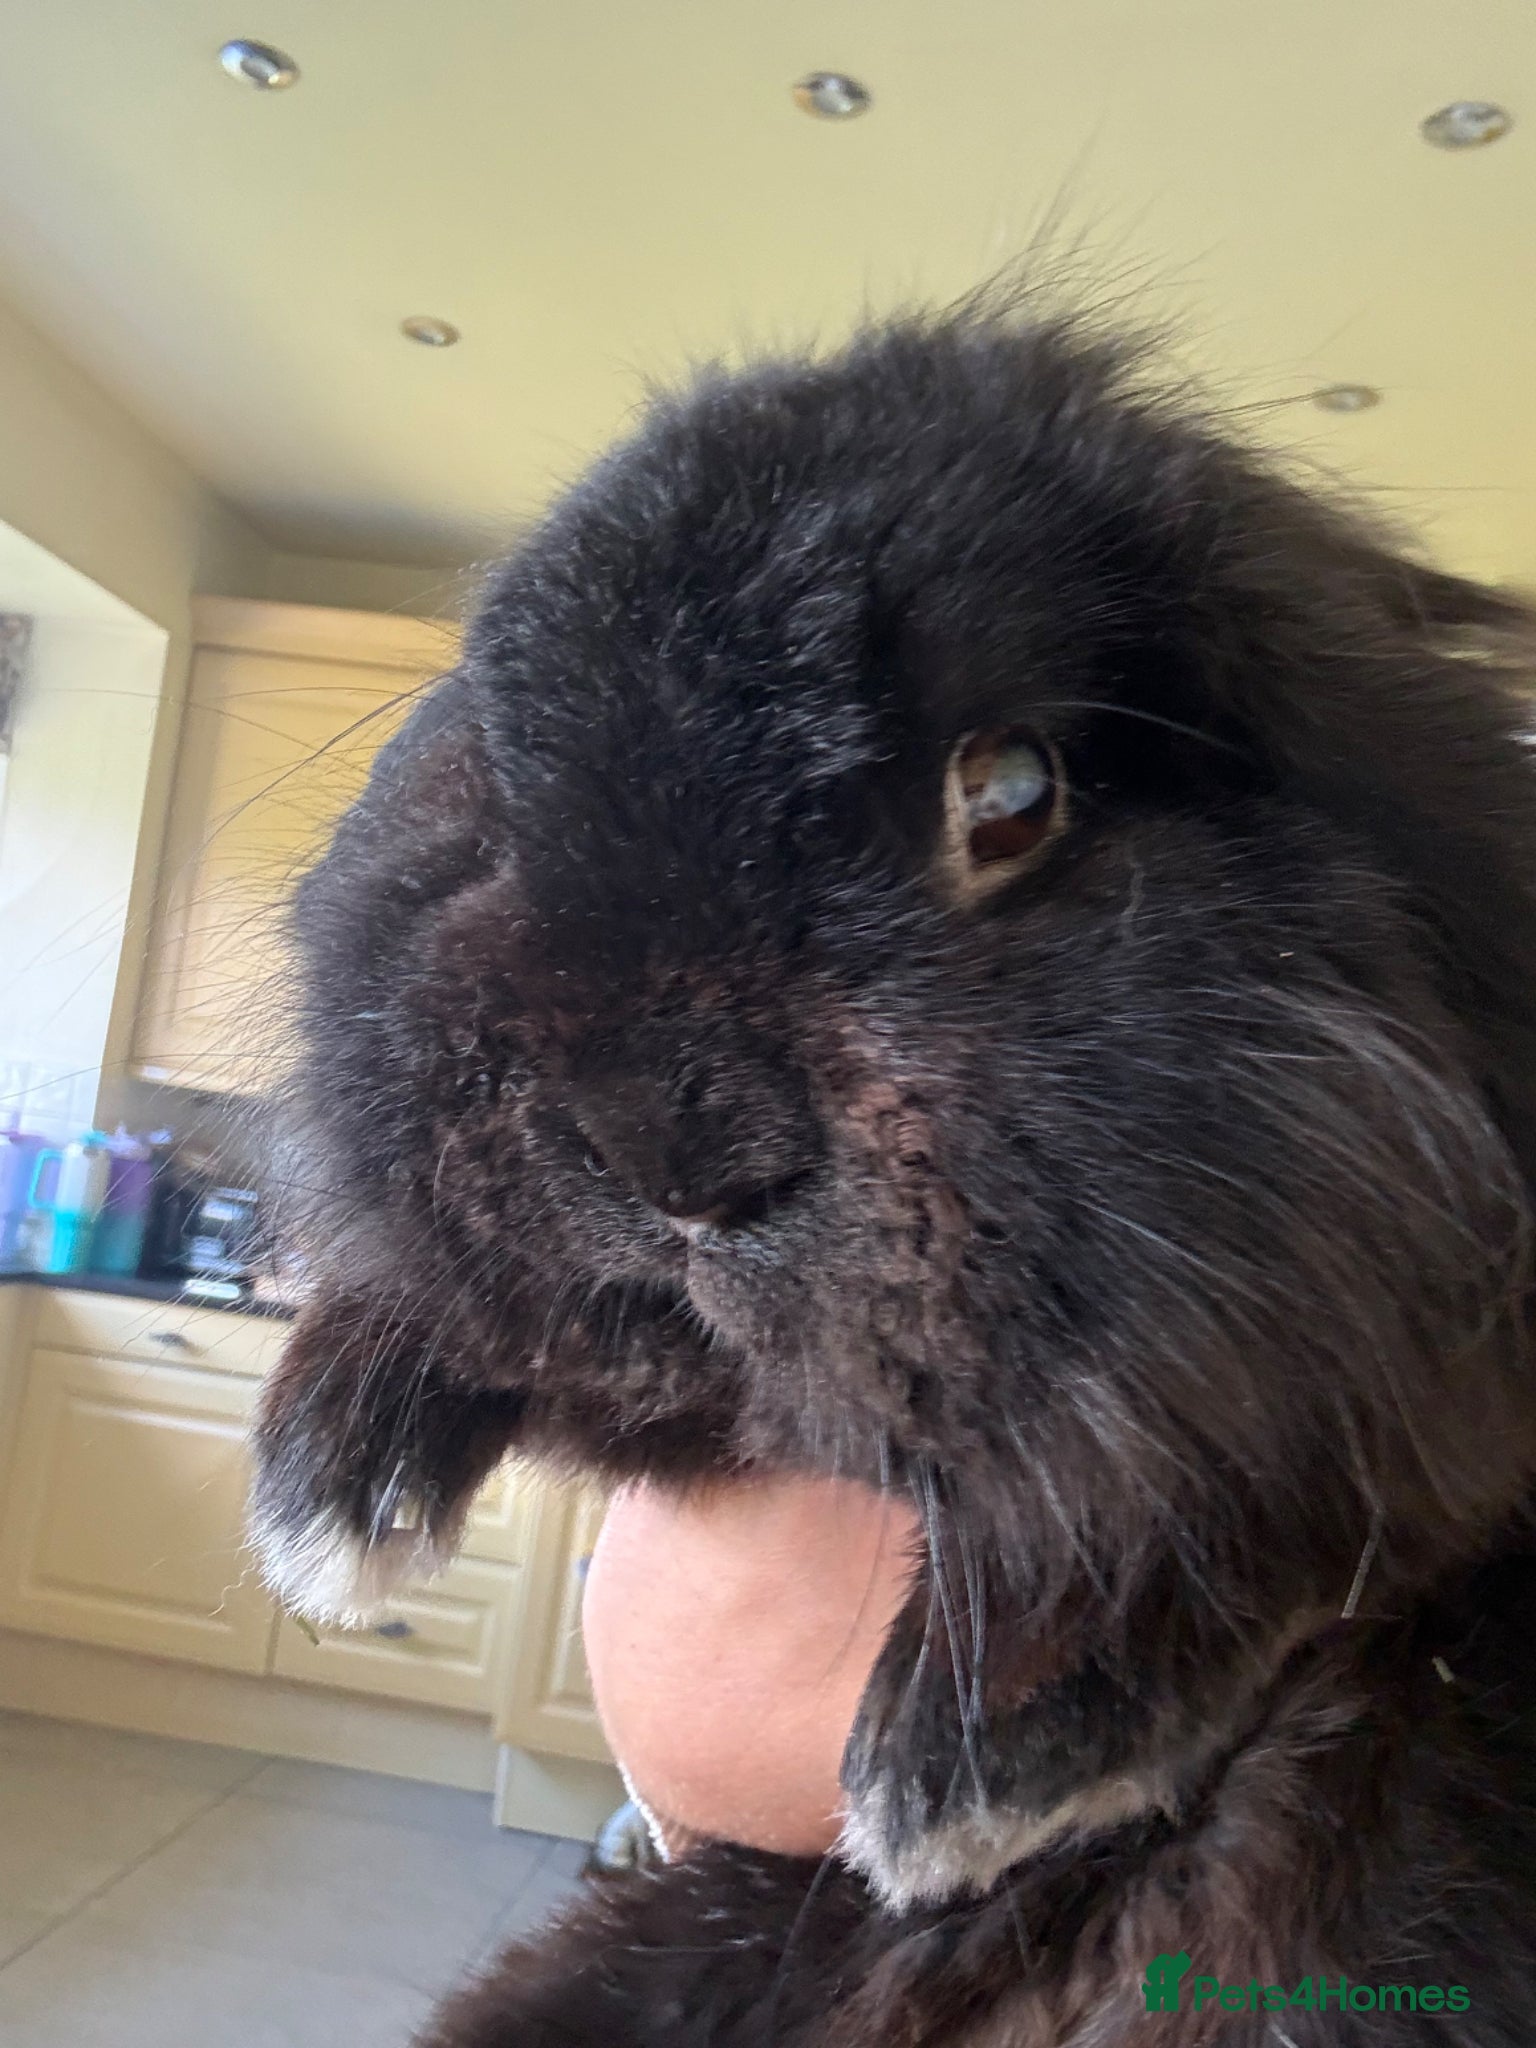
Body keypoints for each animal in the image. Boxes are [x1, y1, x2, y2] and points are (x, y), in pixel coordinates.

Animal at [250, 301, 1536, 2045]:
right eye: (501, 780)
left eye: (1012, 794)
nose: (667, 1139)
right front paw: (330, 1493)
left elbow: (1276, 1483)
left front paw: (978, 1761)